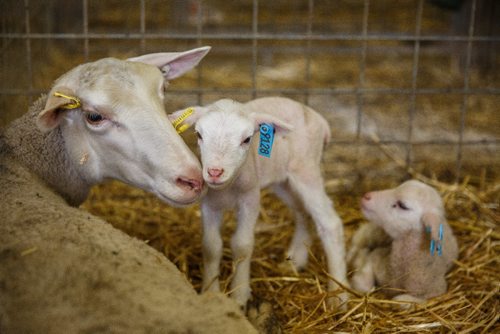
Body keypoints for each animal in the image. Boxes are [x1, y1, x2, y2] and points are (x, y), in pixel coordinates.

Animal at [168, 96, 348, 308]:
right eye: (199, 134)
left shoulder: (250, 199)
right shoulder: (209, 205)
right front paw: (210, 292)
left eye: (247, 139)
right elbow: (211, 247)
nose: (214, 172)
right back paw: (296, 260)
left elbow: (242, 245)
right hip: (283, 181)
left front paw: (240, 295)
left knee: (330, 223)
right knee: (302, 211)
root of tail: (319, 119)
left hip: (306, 169)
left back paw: (339, 296)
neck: (228, 187)